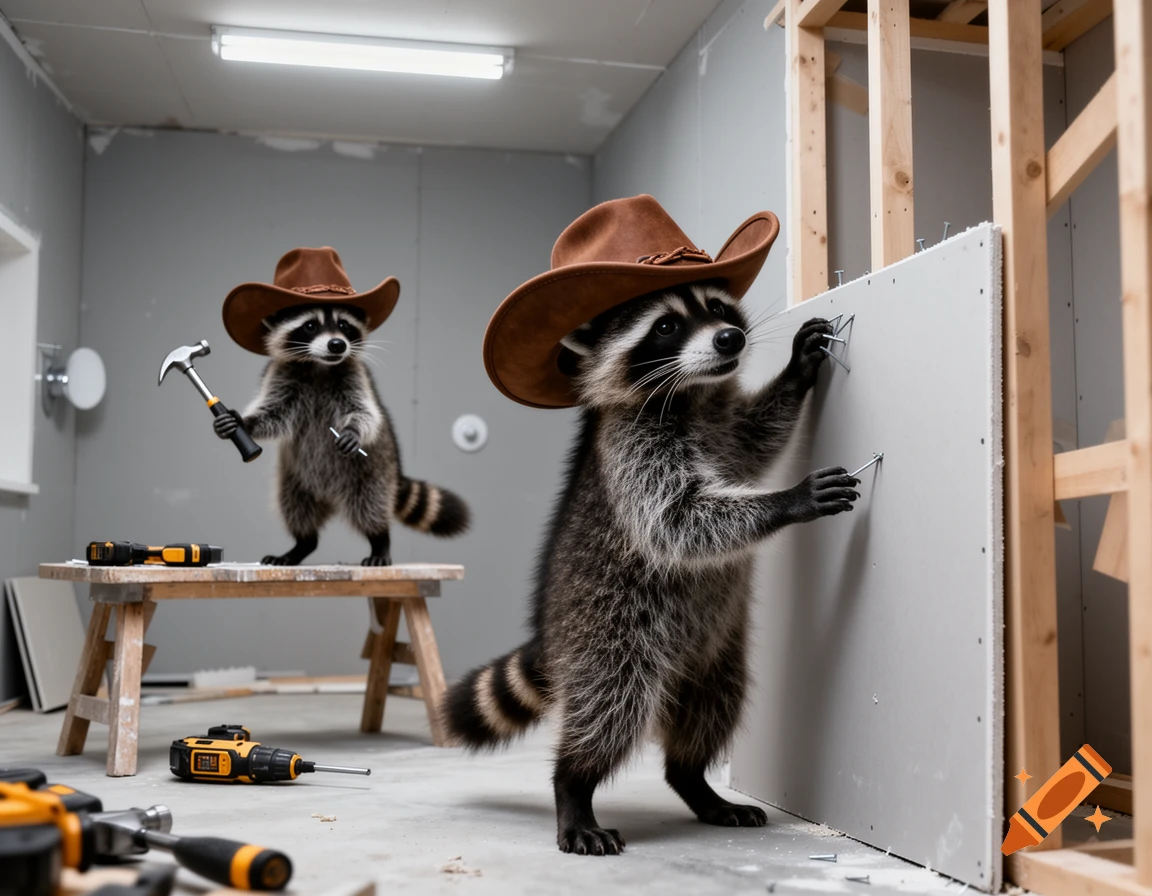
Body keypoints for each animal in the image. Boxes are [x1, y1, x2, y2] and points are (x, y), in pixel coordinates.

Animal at [213, 304, 469, 565]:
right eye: (310, 325)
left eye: (344, 325)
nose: (337, 344)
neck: (319, 365)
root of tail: (329, 497)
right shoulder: (281, 374)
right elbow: (274, 414)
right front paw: (244, 422)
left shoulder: (355, 377)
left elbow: (365, 413)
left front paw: (353, 430)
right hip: (294, 479)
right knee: (295, 507)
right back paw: (302, 543)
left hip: (372, 474)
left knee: (370, 507)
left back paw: (380, 540)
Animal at [442, 282, 858, 855]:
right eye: (665, 326)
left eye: (716, 308)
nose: (730, 338)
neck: (691, 392)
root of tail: (550, 632)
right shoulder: (631, 448)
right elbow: (674, 521)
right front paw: (787, 500)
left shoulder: (723, 426)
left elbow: (756, 436)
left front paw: (796, 370)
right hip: (607, 633)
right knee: (611, 705)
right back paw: (573, 784)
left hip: (714, 654)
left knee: (714, 702)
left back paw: (692, 778)